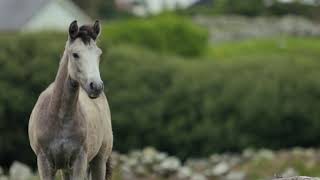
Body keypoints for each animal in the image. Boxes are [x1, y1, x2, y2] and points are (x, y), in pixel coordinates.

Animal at [28, 20, 114, 179]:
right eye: (75, 54)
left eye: (99, 54)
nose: (96, 86)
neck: (60, 118)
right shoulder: (44, 163)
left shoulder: (79, 162)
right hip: (65, 169)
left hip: (99, 160)